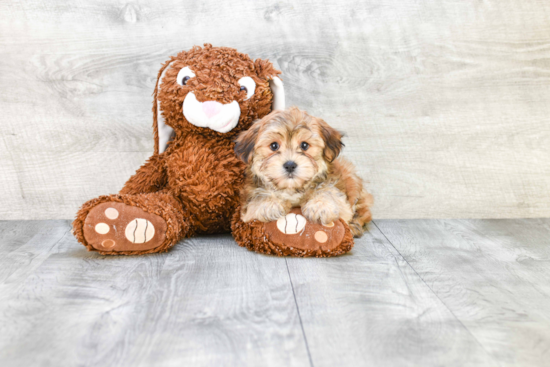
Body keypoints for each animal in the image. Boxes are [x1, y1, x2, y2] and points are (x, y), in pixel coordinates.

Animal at [235, 108, 374, 237]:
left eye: (304, 145)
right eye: (274, 146)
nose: (290, 165)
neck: (292, 189)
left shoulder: (334, 187)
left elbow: (328, 192)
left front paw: (320, 205)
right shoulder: (248, 200)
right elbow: (258, 197)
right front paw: (269, 205)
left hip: (353, 182)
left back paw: (354, 226)